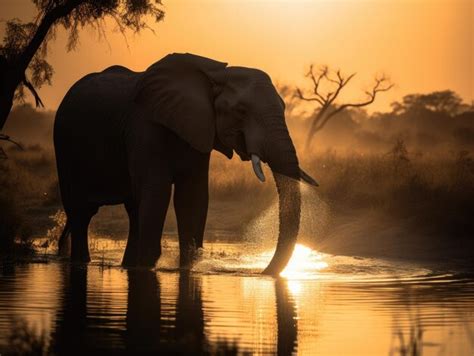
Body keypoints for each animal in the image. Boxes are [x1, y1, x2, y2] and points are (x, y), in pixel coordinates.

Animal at [53, 52, 316, 276]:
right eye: (241, 111)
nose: (261, 273)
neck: (214, 75)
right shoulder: (144, 126)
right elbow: (157, 192)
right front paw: (151, 268)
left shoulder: (199, 131)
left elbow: (193, 197)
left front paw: (185, 268)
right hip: (64, 145)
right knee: (81, 212)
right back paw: (84, 263)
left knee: (132, 209)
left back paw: (127, 266)